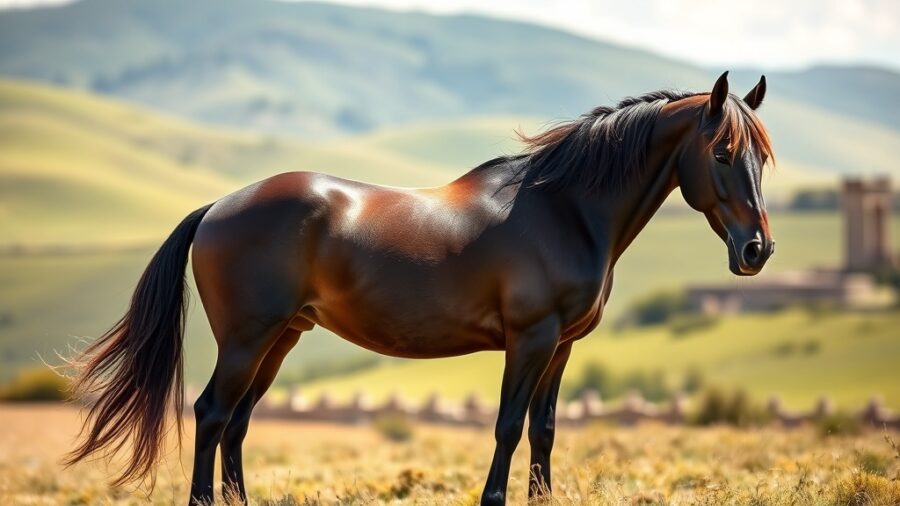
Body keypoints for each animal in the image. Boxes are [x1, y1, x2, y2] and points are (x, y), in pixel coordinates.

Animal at [65, 71, 774, 505]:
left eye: (762, 157)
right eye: (721, 153)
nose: (757, 251)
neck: (566, 208)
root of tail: (218, 206)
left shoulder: (562, 346)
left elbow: (544, 429)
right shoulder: (530, 339)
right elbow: (508, 426)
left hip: (282, 340)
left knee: (236, 423)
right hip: (246, 340)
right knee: (212, 415)